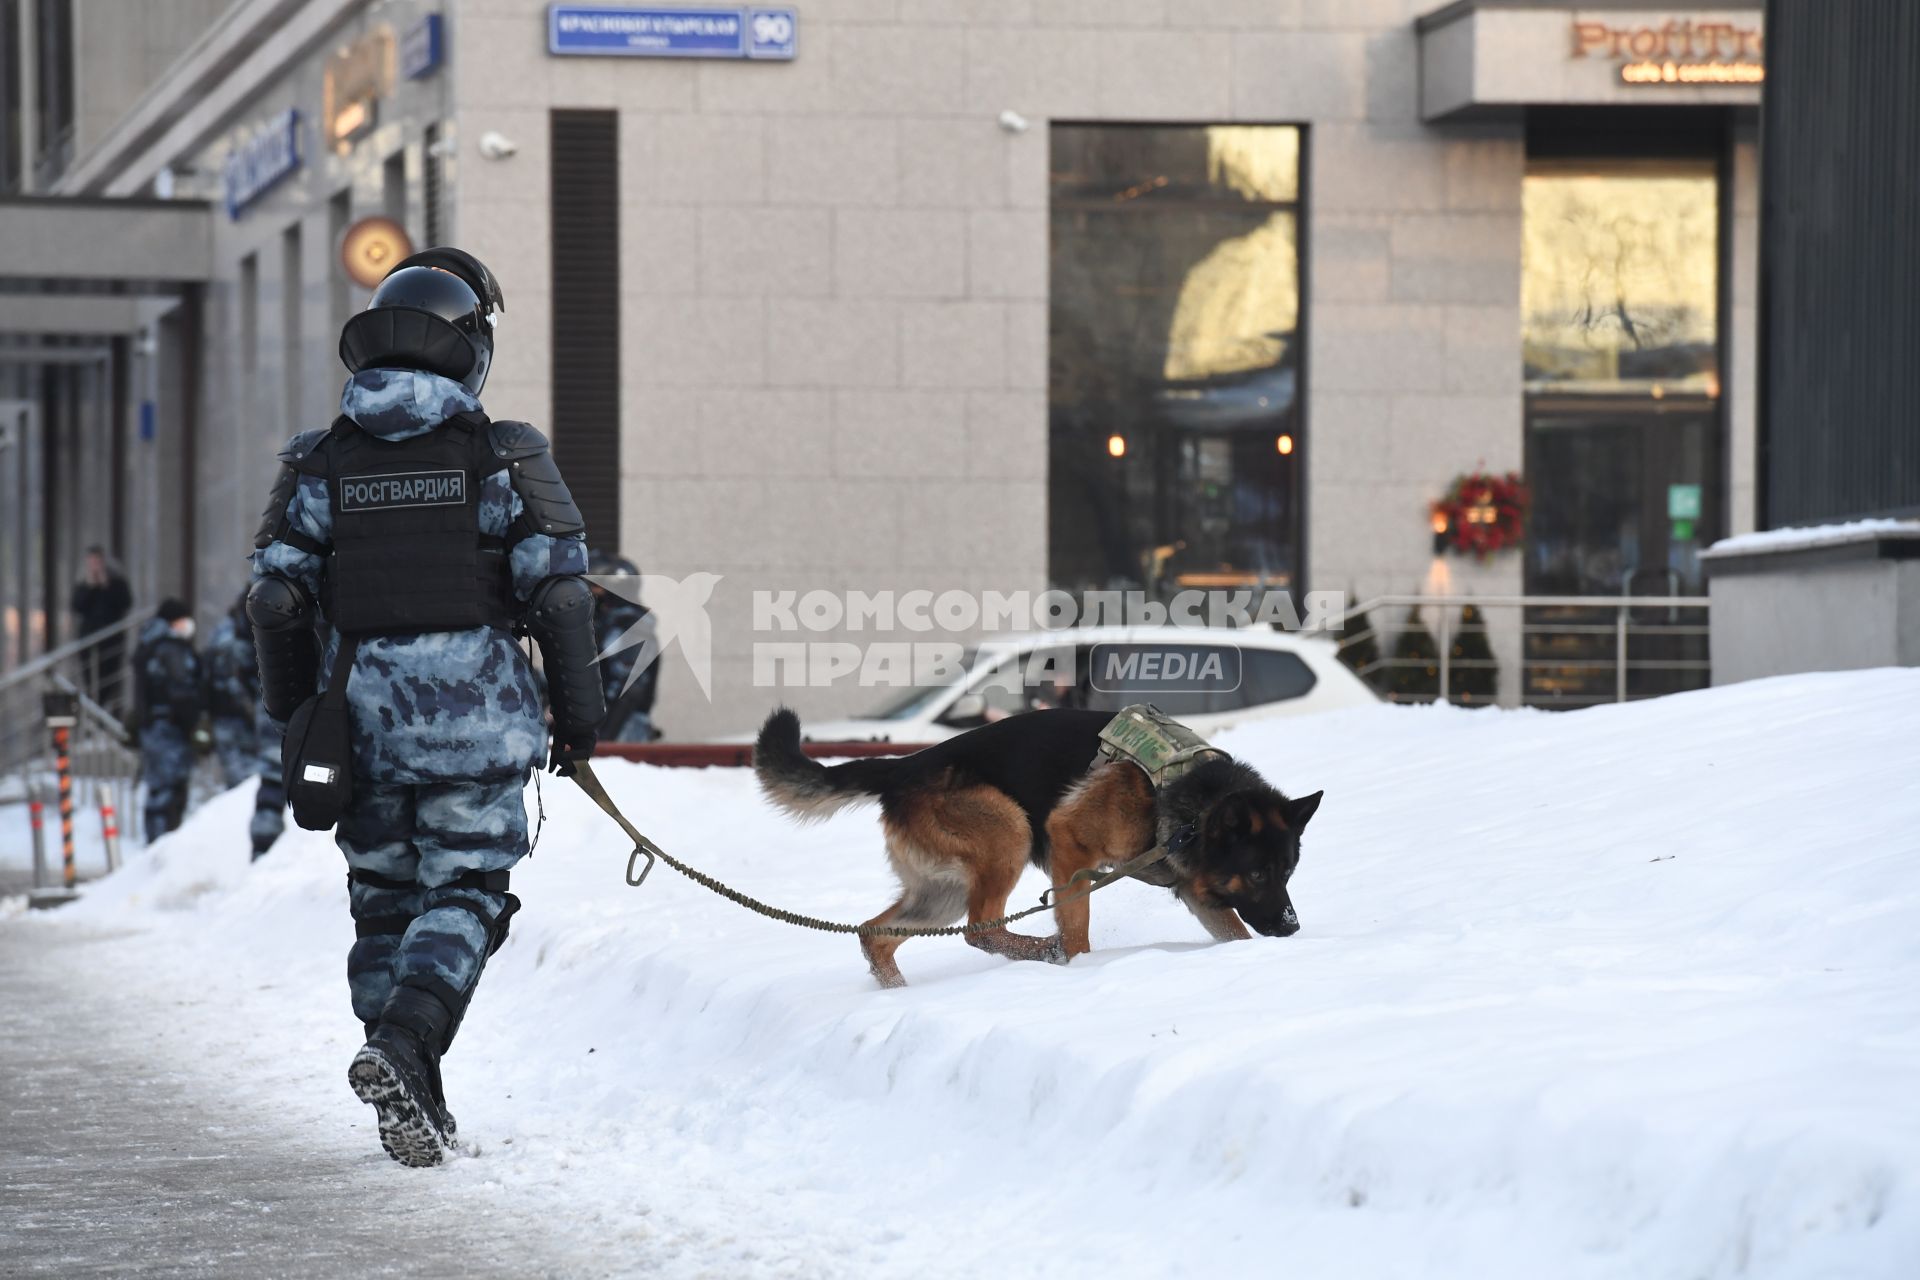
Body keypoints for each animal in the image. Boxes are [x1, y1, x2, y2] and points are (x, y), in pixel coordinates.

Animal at [756, 706, 1328, 990]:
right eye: (1259, 874)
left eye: (1288, 873)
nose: (1292, 928)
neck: (1186, 797)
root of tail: (903, 766)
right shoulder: (1069, 843)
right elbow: (1077, 932)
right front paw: (1078, 967)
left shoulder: (1197, 891)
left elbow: (1234, 933)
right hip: (1011, 832)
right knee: (980, 929)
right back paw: (1039, 952)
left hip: (940, 892)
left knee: (876, 934)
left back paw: (896, 993)